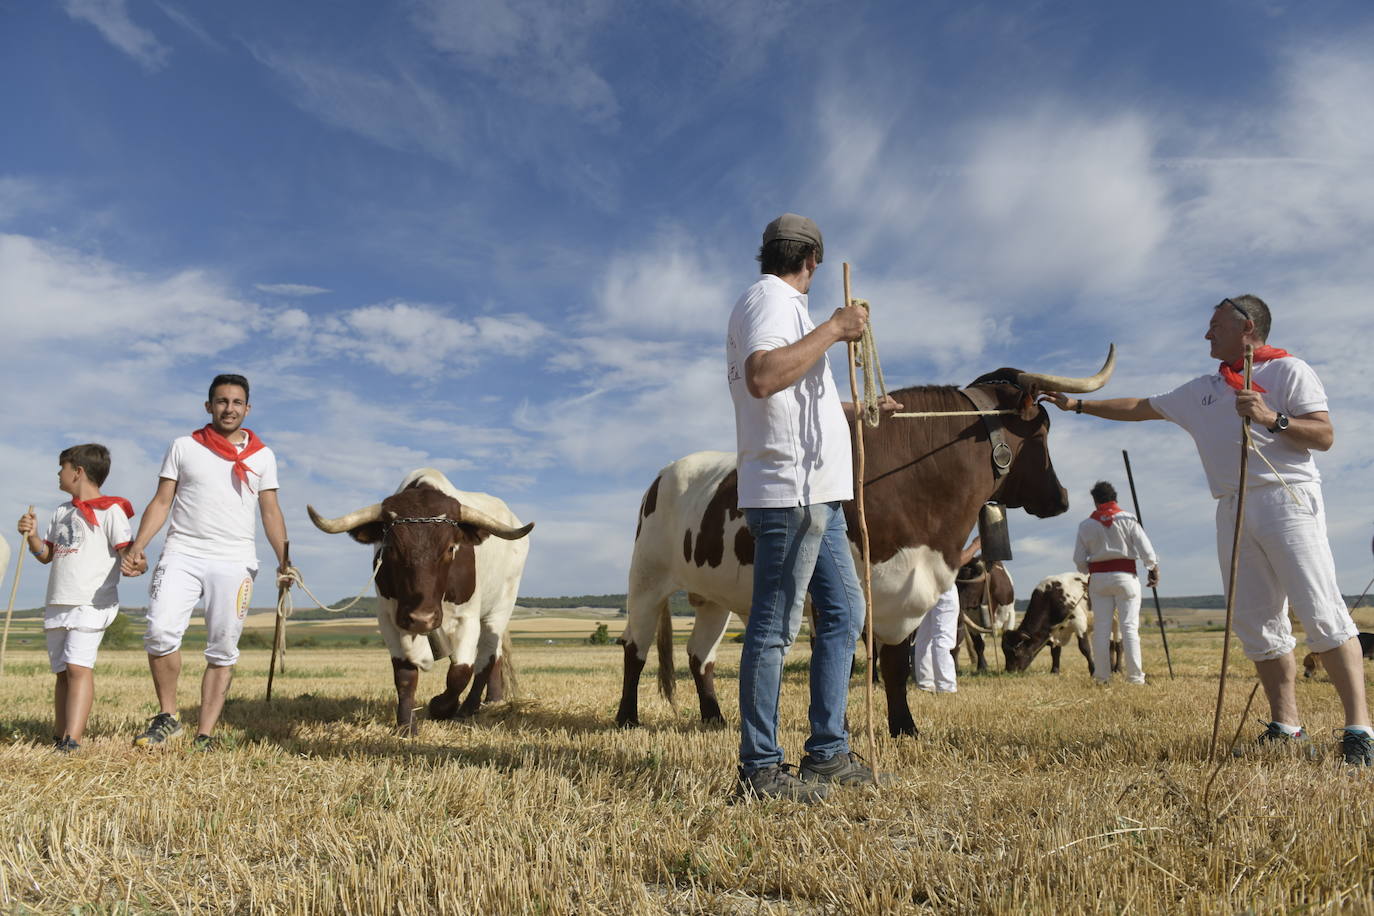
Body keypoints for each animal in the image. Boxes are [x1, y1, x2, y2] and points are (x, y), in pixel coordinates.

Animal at [309, 469, 533, 736]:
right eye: (391, 548)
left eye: (450, 548)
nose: (422, 619)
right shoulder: (390, 618)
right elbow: (405, 674)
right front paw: (406, 724)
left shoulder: (467, 618)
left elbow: (460, 671)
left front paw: (440, 707)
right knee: (495, 656)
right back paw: (493, 700)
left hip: (499, 610)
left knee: (486, 658)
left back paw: (469, 707)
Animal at [618, 351, 1110, 736]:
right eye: (1043, 429)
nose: (1063, 497)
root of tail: (668, 471)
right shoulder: (838, 594)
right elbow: (841, 662)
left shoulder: (906, 589)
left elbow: (894, 664)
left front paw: (904, 727)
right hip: (646, 580)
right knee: (634, 649)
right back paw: (627, 718)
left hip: (713, 599)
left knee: (700, 656)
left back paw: (714, 718)